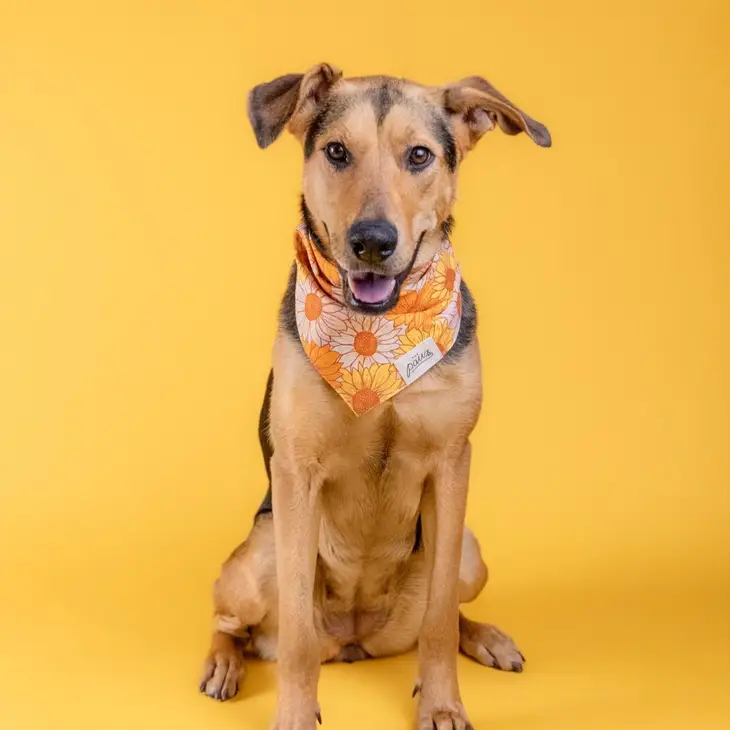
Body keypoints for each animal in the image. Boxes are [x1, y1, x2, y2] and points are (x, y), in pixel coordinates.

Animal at [196, 64, 548, 728]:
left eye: (420, 156)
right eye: (337, 152)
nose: (373, 243)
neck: (375, 348)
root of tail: (358, 641)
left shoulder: (452, 463)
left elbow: (438, 622)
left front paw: (442, 703)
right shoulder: (297, 472)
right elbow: (298, 639)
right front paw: (293, 715)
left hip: (470, 551)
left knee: (442, 611)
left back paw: (486, 637)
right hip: (259, 555)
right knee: (234, 623)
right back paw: (224, 664)